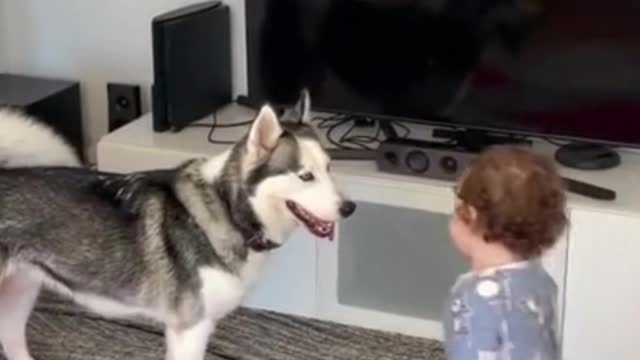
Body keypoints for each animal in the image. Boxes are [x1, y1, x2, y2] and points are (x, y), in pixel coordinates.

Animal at [0, 90, 356, 360]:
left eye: (329, 168)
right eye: (305, 176)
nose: (350, 208)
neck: (226, 207)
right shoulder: (190, 330)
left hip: (19, 293)